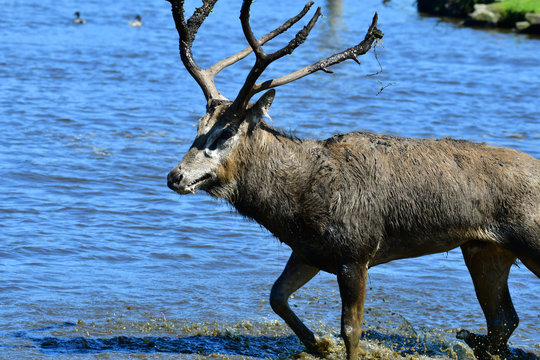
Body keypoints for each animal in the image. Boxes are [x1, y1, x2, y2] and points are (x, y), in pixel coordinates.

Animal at [165, 1, 540, 358]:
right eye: (197, 125)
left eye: (226, 132)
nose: (175, 176)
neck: (294, 206)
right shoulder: (309, 251)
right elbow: (276, 296)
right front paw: (317, 344)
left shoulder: (356, 251)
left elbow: (351, 330)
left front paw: (330, 343)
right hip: (485, 249)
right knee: (504, 319)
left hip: (529, 239)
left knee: (504, 318)